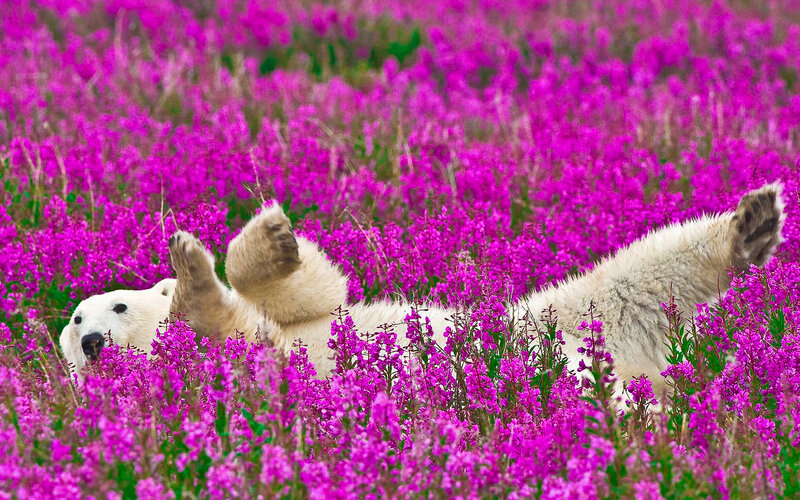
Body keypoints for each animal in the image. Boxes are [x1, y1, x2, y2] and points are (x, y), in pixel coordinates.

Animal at [60, 184, 785, 399]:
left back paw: (752, 222)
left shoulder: (303, 318)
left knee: (641, 271)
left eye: (113, 304)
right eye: (74, 322)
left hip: (556, 316)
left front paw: (258, 239)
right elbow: (231, 330)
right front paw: (192, 275)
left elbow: (315, 293)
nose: (92, 340)